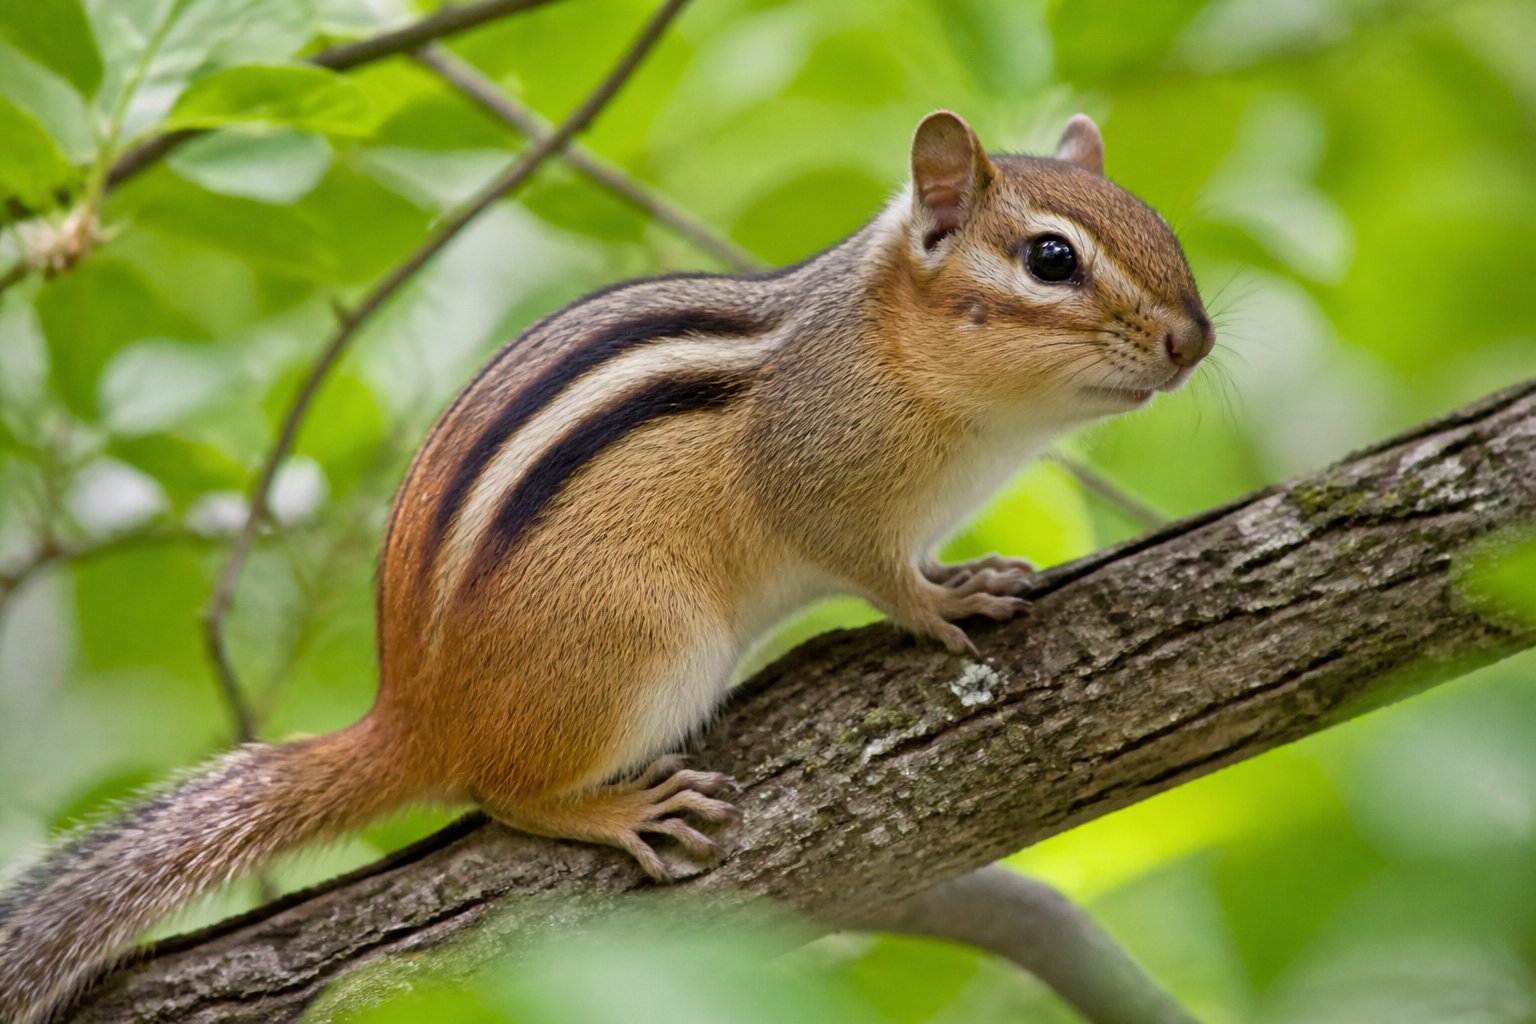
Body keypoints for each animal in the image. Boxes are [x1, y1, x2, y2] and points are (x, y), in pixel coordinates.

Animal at [0, 110, 1212, 1021]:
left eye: (1163, 230)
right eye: (1050, 259)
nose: (1193, 341)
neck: (898, 353)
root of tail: (415, 713)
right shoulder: (826, 483)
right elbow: (878, 571)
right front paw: (948, 596)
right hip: (646, 644)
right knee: (502, 791)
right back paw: (617, 812)